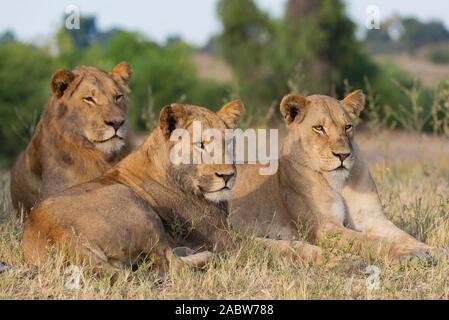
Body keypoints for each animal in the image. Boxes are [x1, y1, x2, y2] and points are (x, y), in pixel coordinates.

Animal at [22, 101, 243, 272]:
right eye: (200, 145)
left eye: (228, 143)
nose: (227, 176)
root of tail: (58, 231)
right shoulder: (225, 241)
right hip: (130, 199)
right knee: (170, 263)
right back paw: (206, 256)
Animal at [229, 90, 446, 262]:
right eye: (319, 128)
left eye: (347, 127)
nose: (342, 155)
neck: (339, 182)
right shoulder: (325, 228)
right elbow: (370, 240)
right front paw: (408, 253)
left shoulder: (373, 218)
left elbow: (405, 236)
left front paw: (435, 250)